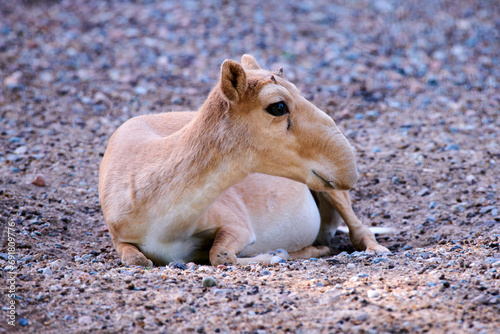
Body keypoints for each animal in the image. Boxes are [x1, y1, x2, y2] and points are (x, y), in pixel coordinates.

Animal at [98, 54, 390, 266]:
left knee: (360, 230)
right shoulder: (120, 236)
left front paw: (275, 254)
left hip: (334, 193)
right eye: (278, 106)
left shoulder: (237, 224)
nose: (347, 167)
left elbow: (220, 255)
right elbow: (137, 260)